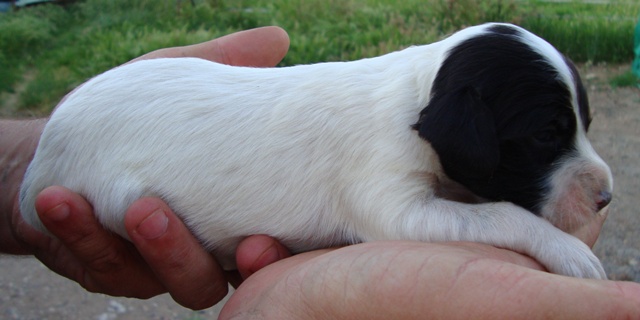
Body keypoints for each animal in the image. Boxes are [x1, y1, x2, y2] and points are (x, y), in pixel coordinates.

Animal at [20, 23, 612, 278]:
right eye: (545, 135)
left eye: (584, 124)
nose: (606, 198)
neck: (417, 93)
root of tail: (43, 148)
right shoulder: (395, 205)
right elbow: (503, 214)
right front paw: (571, 252)